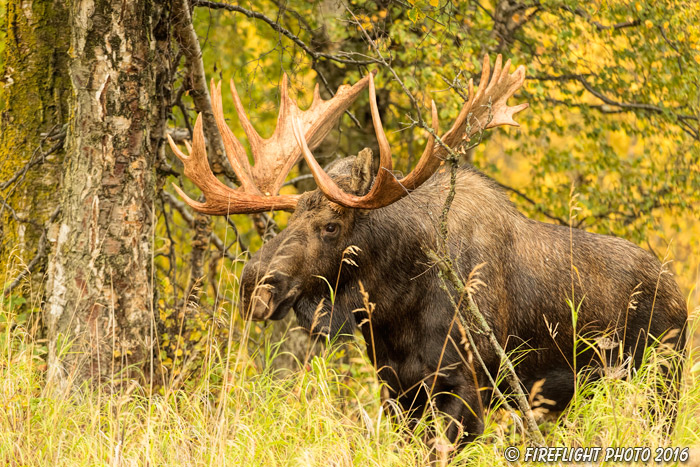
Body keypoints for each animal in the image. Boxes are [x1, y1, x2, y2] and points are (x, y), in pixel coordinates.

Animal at [167, 56, 688, 448]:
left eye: (331, 225)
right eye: (289, 220)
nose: (254, 284)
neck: (396, 309)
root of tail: (679, 290)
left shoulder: (469, 386)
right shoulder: (396, 389)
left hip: (661, 381)